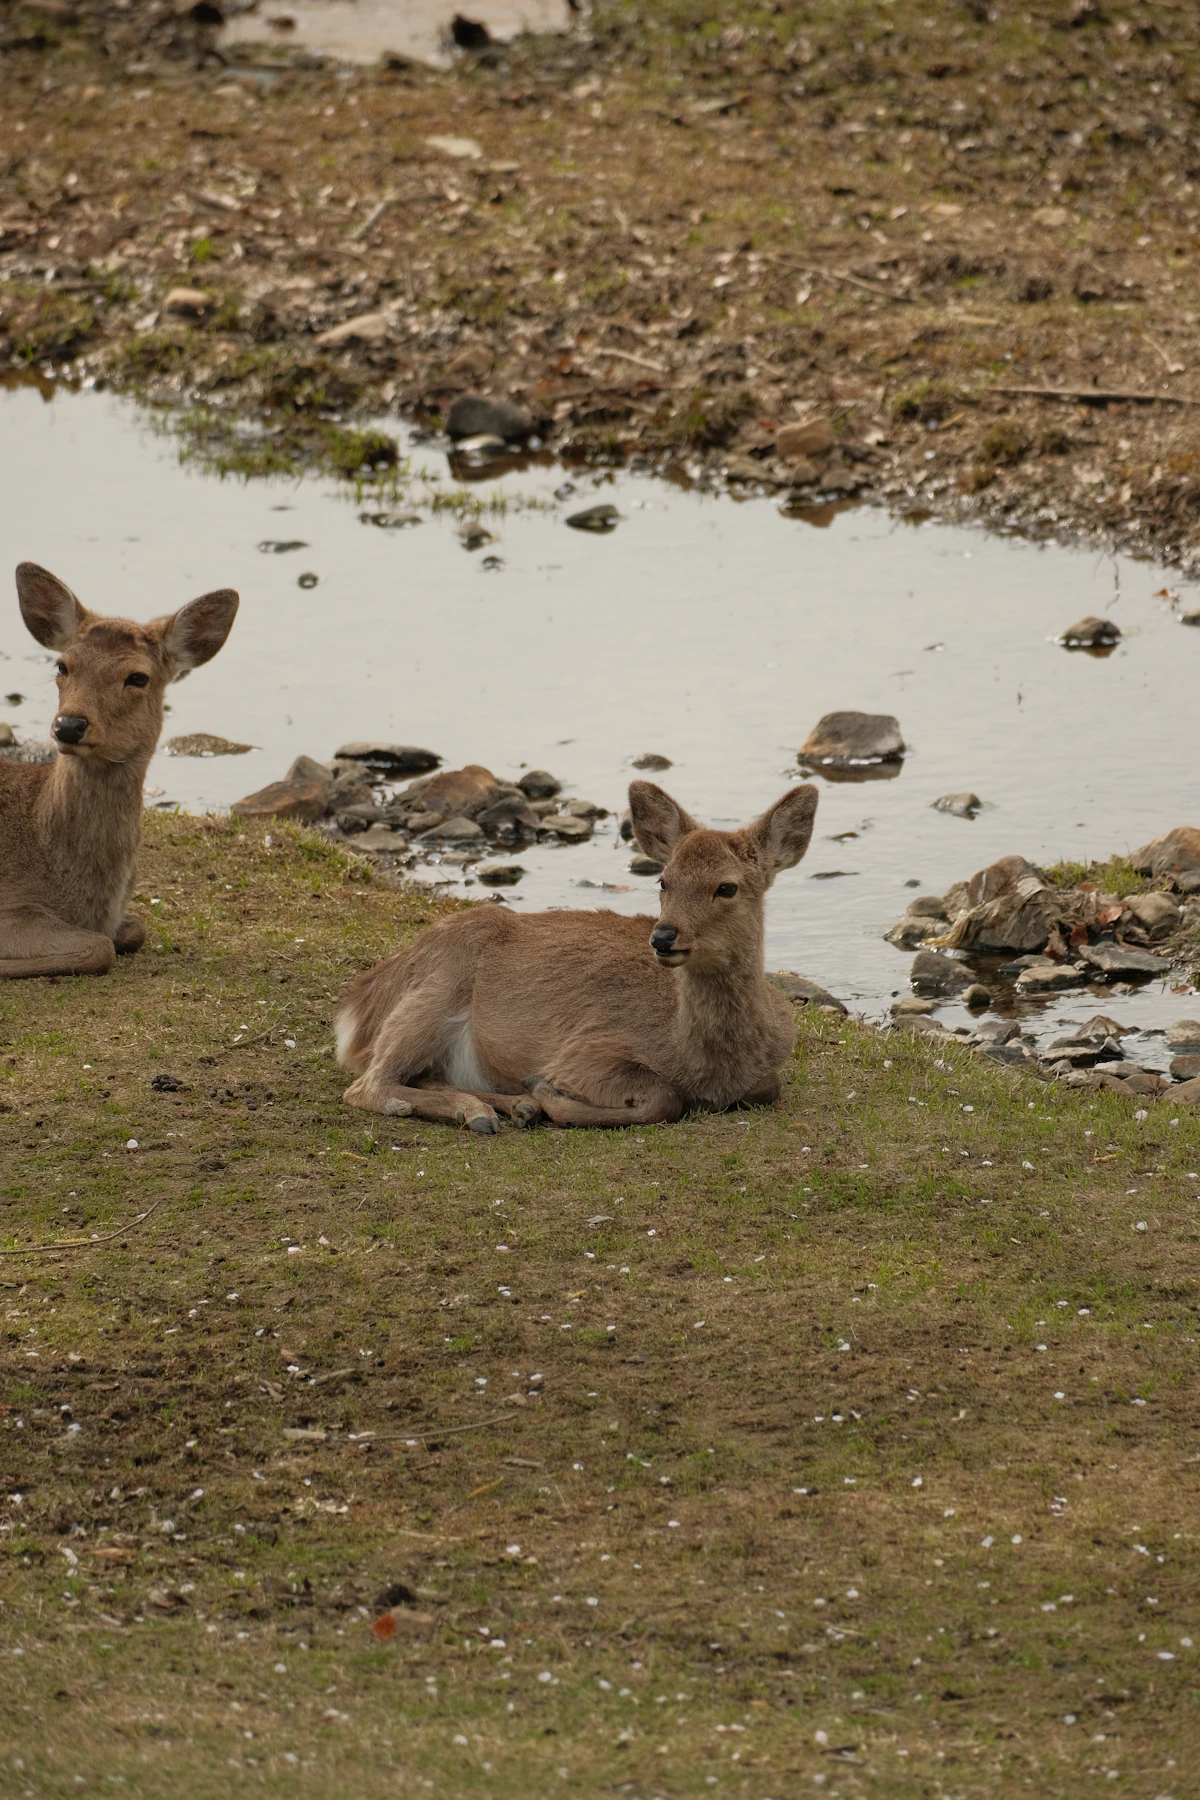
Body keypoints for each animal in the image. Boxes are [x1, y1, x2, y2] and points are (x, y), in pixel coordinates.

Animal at [335, 779, 818, 1131]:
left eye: (727, 887)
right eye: (664, 880)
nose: (662, 937)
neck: (710, 1064)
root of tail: (357, 1008)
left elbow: (769, 1086)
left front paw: (538, 1099)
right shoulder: (586, 1050)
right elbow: (664, 1097)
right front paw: (551, 1094)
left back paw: (514, 1107)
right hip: (434, 991)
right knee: (366, 1086)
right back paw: (480, 1111)